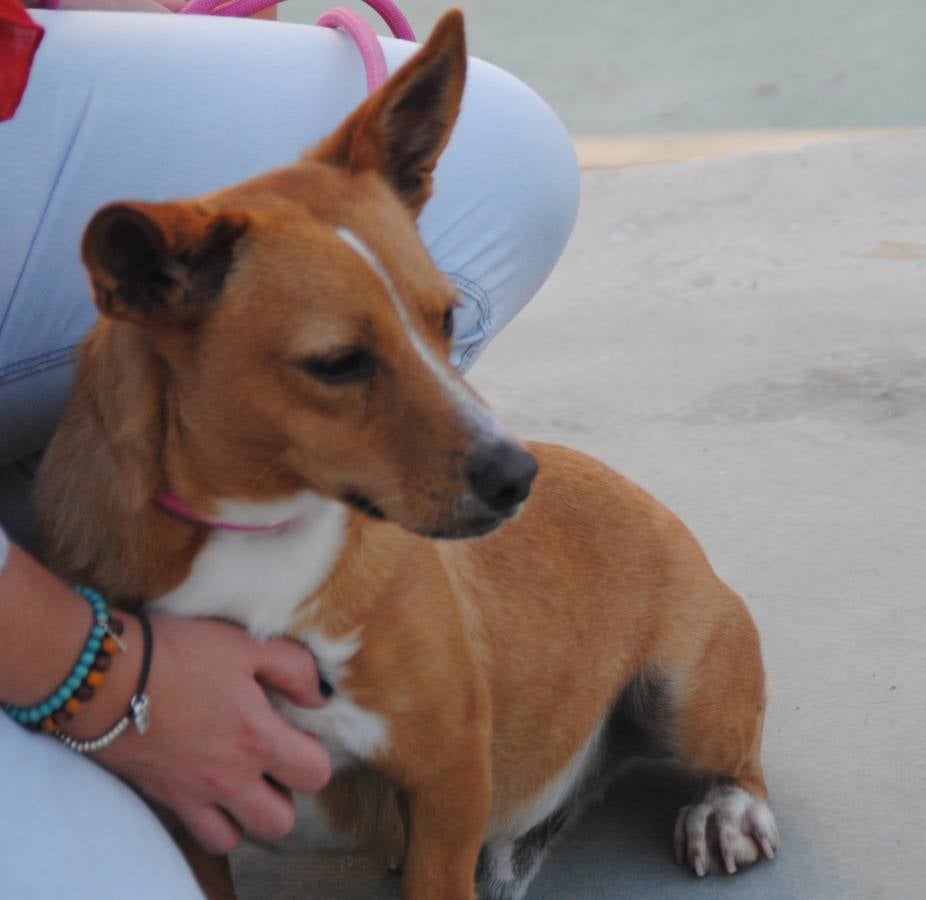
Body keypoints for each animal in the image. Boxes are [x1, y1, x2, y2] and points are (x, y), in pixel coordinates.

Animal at [36, 8, 780, 900]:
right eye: (338, 363)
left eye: (447, 318)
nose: (519, 477)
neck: (261, 536)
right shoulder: (186, 805)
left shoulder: (448, 774)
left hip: (685, 694)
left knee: (736, 757)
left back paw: (725, 809)